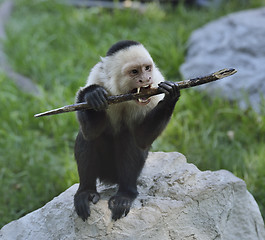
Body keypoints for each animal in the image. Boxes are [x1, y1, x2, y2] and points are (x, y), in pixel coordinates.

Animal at [73, 39, 179, 221]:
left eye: (147, 68)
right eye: (135, 72)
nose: (146, 79)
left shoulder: (156, 85)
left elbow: (142, 139)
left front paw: (170, 98)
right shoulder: (97, 76)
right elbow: (90, 132)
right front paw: (92, 94)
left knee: (129, 138)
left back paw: (125, 195)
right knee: (89, 138)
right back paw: (86, 191)